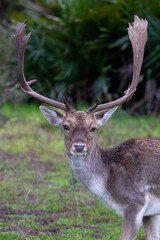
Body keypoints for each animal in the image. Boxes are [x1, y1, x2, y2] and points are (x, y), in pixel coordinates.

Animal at [13, 15, 160, 239]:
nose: (80, 146)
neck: (108, 185)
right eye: (65, 126)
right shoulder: (151, 213)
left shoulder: (134, 202)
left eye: (93, 128)